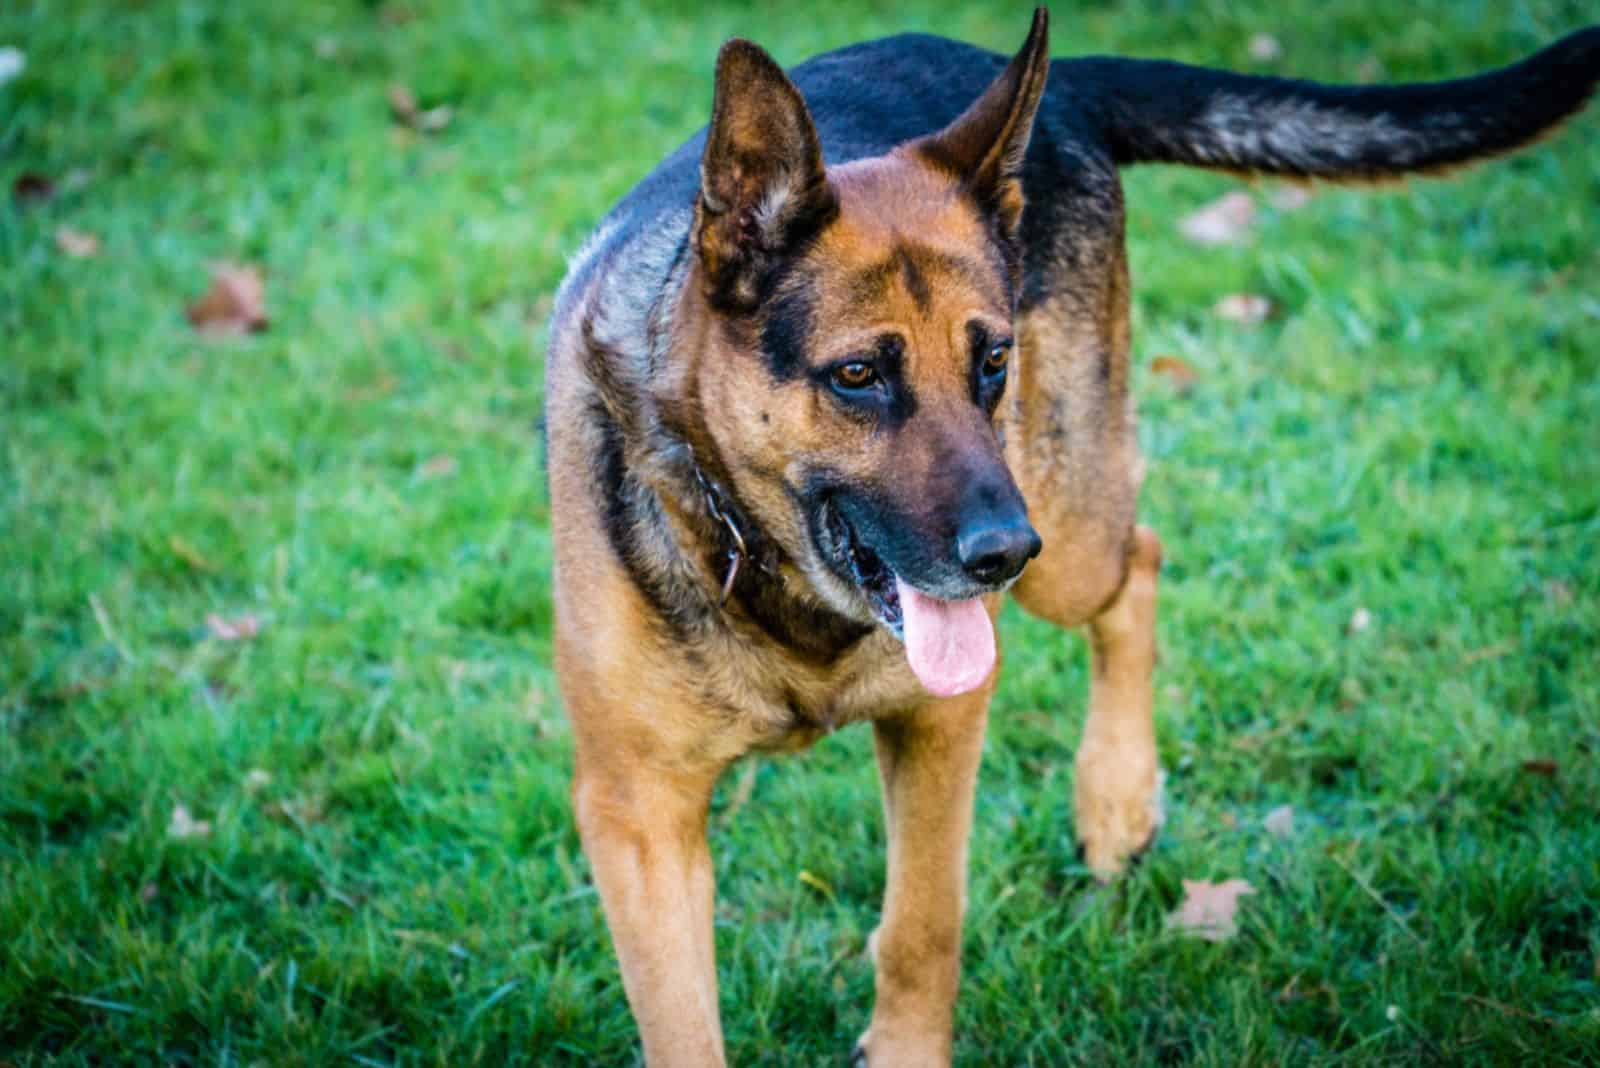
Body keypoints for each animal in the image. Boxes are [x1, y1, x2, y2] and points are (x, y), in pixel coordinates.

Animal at [544, 12, 1593, 1061]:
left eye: (993, 360)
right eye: (856, 376)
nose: (1005, 555)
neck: (776, 576)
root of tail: (1064, 90)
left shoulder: (941, 722)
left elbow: (923, 929)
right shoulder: (638, 819)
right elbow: (684, 1028)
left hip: (1072, 527)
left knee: (1140, 560)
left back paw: (1117, 795)